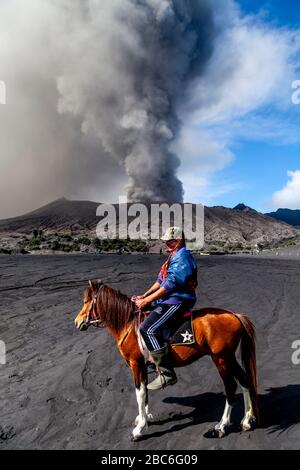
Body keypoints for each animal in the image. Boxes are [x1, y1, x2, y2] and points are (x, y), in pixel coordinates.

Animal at [74, 280, 258, 442]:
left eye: (85, 301)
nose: (77, 322)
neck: (128, 324)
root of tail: (234, 315)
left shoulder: (136, 364)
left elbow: (139, 393)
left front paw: (139, 429)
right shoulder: (143, 365)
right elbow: (145, 392)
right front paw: (144, 417)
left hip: (221, 359)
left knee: (231, 387)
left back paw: (221, 426)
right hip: (229, 358)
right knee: (244, 381)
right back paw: (246, 421)